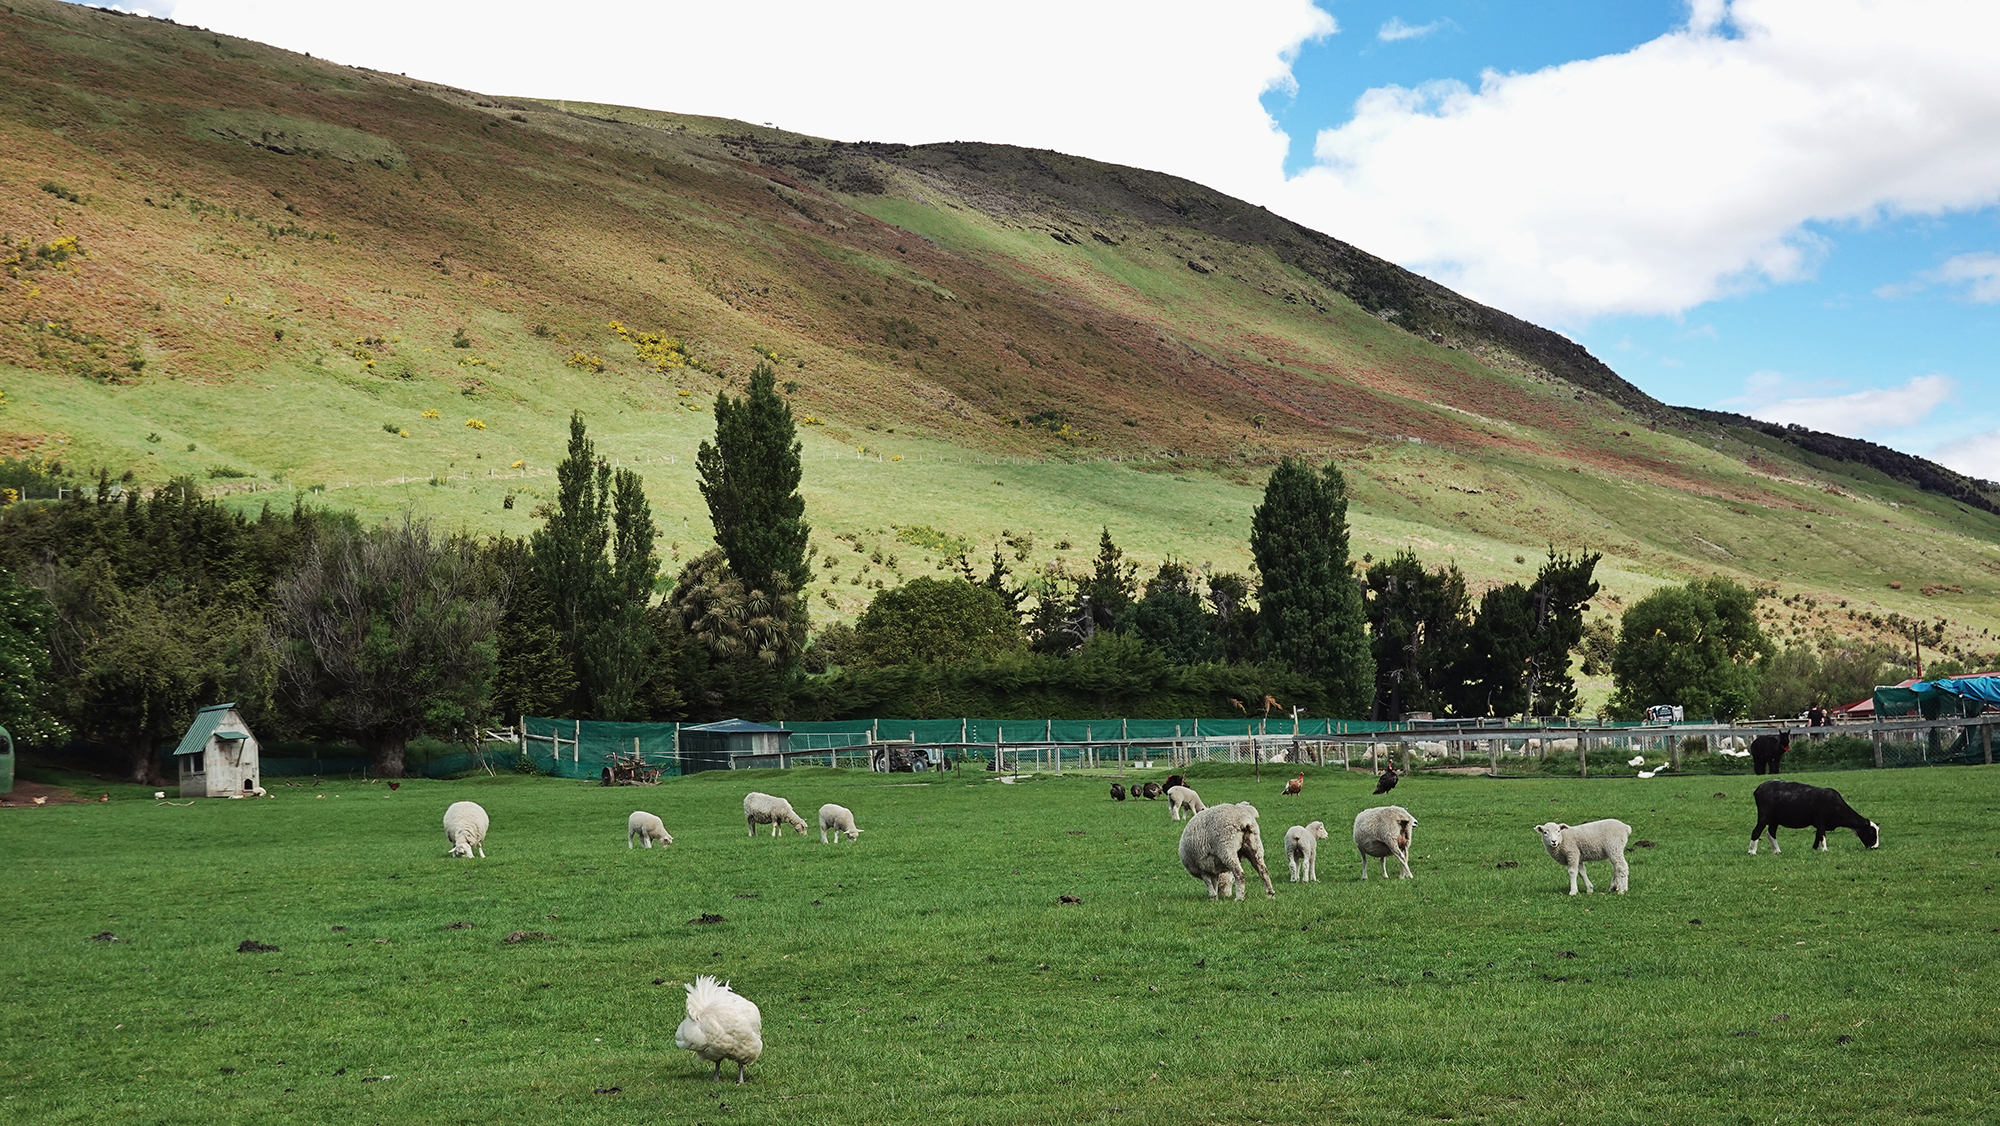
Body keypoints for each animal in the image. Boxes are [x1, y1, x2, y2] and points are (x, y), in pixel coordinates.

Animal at [1744, 784, 1880, 856]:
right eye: (1871, 832)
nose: (1875, 847)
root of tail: (1759, 788)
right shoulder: (1821, 820)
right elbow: (1822, 835)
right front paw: (1825, 850)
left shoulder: (1820, 823)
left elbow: (1818, 835)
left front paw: (1814, 849)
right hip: (1764, 816)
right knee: (1756, 831)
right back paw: (1752, 852)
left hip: (1774, 820)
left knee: (1771, 833)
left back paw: (1777, 851)